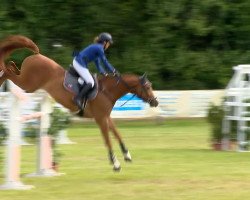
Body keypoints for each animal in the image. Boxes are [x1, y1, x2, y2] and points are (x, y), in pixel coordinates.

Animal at [0, 35, 159, 171]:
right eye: (147, 87)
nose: (155, 102)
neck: (107, 91)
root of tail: (36, 55)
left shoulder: (106, 117)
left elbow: (117, 134)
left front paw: (127, 155)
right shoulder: (101, 119)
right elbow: (107, 139)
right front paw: (115, 164)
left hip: (27, 83)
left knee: (11, 66)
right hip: (28, 84)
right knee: (8, 69)